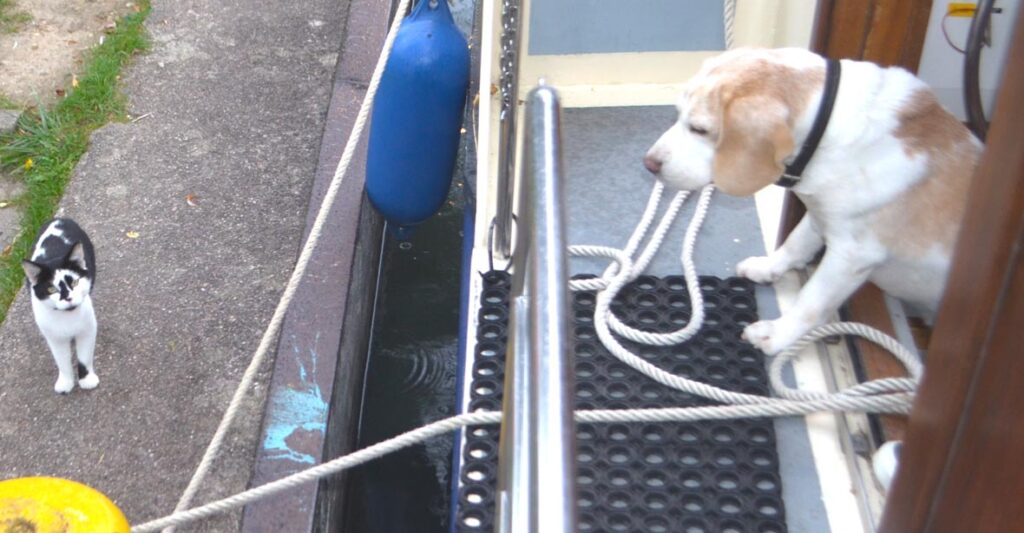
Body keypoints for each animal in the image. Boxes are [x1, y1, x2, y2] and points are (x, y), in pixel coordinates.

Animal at [20, 216, 98, 394]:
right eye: (51, 289)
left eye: (75, 282)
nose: (68, 297)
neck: (67, 316)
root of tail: (58, 218)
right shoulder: (54, 338)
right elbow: (62, 361)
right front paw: (66, 382)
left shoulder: (87, 330)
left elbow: (84, 357)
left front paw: (86, 380)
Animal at [643, 48, 978, 353]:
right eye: (677, 114)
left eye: (699, 129)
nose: (649, 163)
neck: (829, 129)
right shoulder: (820, 213)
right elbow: (795, 243)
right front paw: (767, 267)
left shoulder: (852, 255)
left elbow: (812, 301)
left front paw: (776, 335)